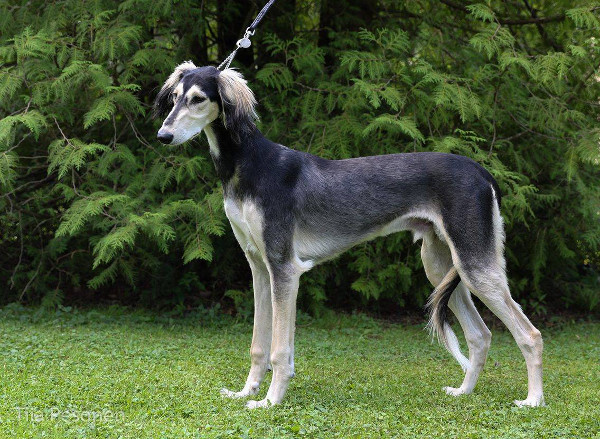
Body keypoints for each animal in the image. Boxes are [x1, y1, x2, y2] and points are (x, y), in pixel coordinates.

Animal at [154, 62, 544, 408]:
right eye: (174, 97)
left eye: (198, 99)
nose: (163, 136)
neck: (249, 163)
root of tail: (482, 172)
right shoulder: (260, 268)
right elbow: (260, 345)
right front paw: (247, 393)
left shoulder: (284, 268)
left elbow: (279, 350)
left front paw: (270, 401)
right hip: (443, 264)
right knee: (480, 335)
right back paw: (464, 393)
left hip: (476, 264)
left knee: (530, 335)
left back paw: (533, 400)